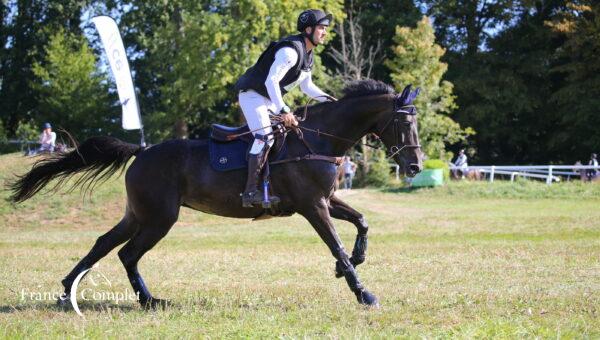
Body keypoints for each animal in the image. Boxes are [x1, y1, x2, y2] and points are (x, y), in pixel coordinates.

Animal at [9, 79, 422, 308]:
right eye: (404, 123)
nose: (416, 166)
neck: (318, 139)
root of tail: (142, 151)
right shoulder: (312, 205)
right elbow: (335, 243)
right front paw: (363, 292)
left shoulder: (326, 200)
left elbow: (361, 222)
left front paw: (351, 263)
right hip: (160, 217)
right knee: (128, 253)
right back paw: (147, 300)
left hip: (139, 214)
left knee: (104, 244)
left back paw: (69, 290)